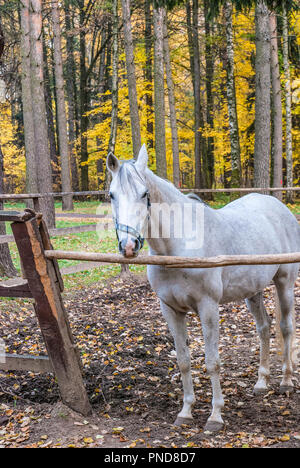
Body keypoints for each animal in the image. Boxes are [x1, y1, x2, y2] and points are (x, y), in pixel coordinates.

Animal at [106, 145, 298, 432]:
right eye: (111, 195)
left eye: (144, 194)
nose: (128, 246)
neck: (178, 247)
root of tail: (280, 208)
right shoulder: (171, 310)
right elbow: (184, 361)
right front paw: (185, 412)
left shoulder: (208, 308)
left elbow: (212, 362)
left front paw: (215, 416)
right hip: (252, 292)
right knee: (264, 328)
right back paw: (261, 383)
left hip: (284, 283)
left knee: (286, 328)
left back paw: (286, 381)